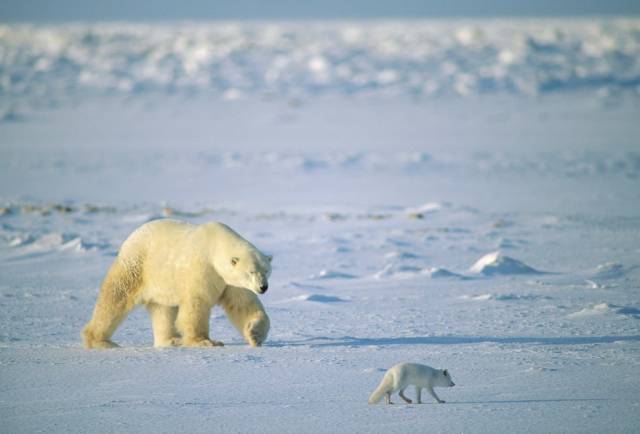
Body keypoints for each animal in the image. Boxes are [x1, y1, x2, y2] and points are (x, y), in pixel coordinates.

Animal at [81, 220, 272, 350]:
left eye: (266, 270)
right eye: (252, 272)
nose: (263, 287)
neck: (213, 246)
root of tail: (131, 237)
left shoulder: (229, 281)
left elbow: (243, 304)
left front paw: (254, 335)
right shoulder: (202, 268)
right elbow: (197, 304)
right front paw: (205, 341)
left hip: (161, 284)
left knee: (163, 310)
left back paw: (171, 340)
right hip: (136, 266)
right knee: (115, 298)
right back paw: (101, 341)